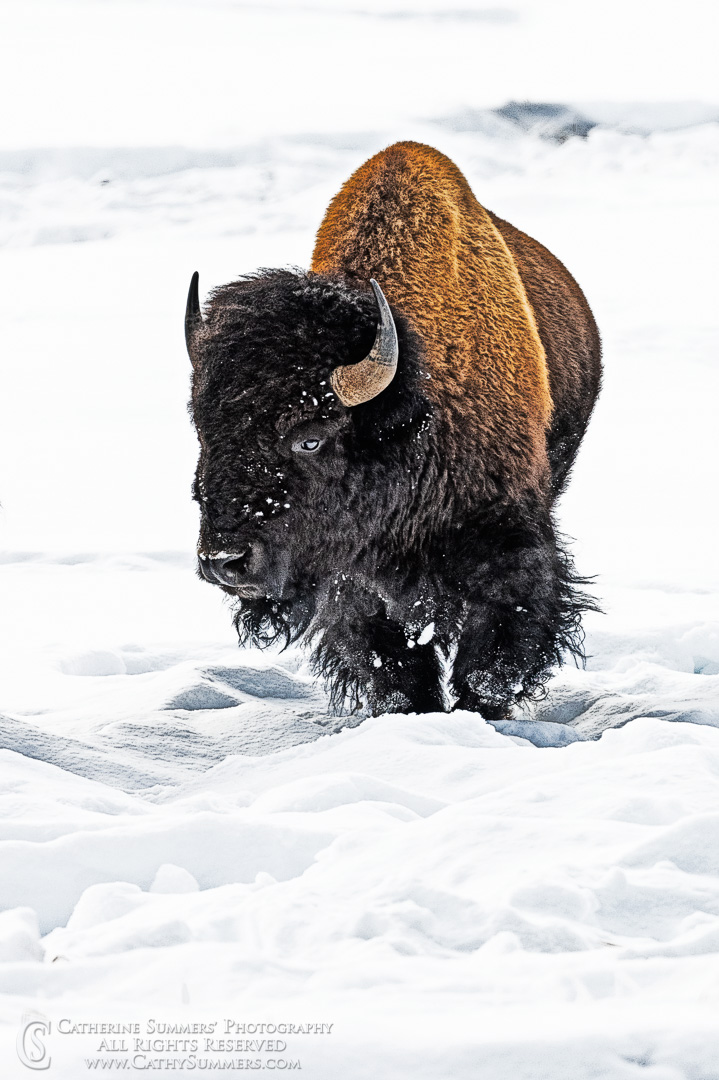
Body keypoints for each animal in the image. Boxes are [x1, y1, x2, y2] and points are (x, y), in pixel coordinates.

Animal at [186, 141, 601, 720]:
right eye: (204, 431)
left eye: (310, 436)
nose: (223, 560)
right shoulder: (353, 585)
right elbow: (392, 665)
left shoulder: (509, 550)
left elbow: (490, 661)